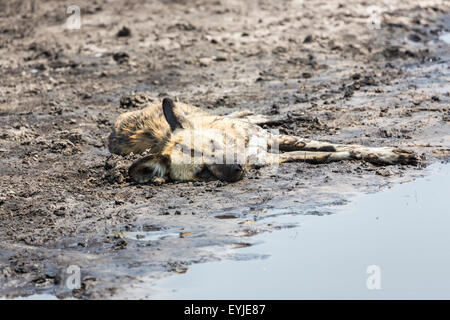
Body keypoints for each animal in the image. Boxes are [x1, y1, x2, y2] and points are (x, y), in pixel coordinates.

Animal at [109, 96, 418, 184]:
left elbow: (341, 146)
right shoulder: (268, 157)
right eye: (204, 171)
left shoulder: (269, 140)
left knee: (240, 114)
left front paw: (390, 153)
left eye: (215, 147)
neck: (243, 149)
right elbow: (324, 153)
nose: (237, 169)